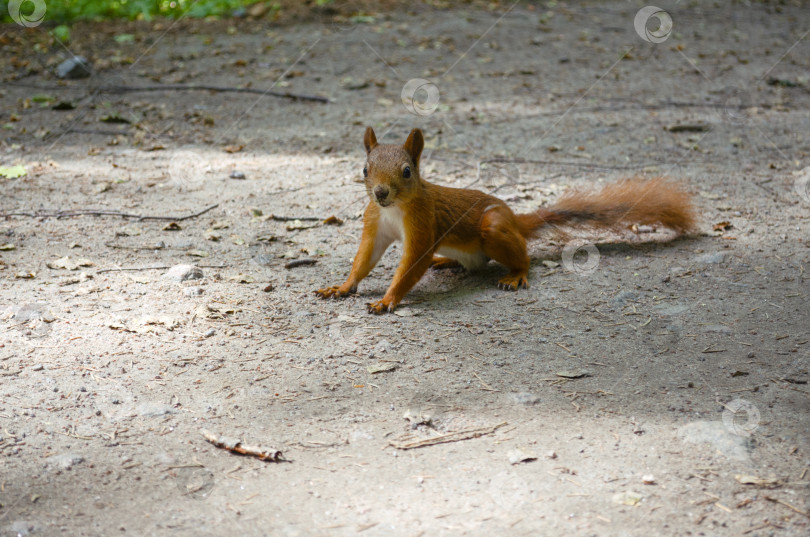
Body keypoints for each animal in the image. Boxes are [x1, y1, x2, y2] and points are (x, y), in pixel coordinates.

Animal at [316, 127, 696, 314]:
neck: (394, 209)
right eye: (365, 169)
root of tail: (515, 218)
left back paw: (516, 275)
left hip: (494, 228)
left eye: (407, 171)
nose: (380, 193)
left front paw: (387, 300)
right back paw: (446, 262)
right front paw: (342, 287)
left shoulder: (423, 222)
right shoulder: (375, 224)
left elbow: (412, 263)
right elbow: (365, 259)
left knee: (522, 255)